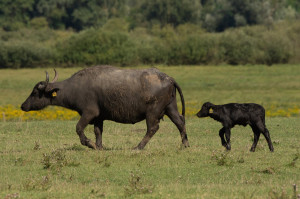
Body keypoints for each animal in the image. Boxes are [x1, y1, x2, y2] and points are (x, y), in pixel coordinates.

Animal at [21, 65, 190, 149]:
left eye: (35, 92)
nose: (23, 105)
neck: (75, 87)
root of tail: (168, 78)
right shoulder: (99, 117)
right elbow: (98, 132)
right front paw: (99, 146)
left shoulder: (89, 113)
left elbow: (79, 128)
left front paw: (90, 144)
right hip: (171, 108)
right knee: (180, 122)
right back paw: (185, 144)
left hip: (153, 112)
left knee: (152, 128)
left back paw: (138, 147)